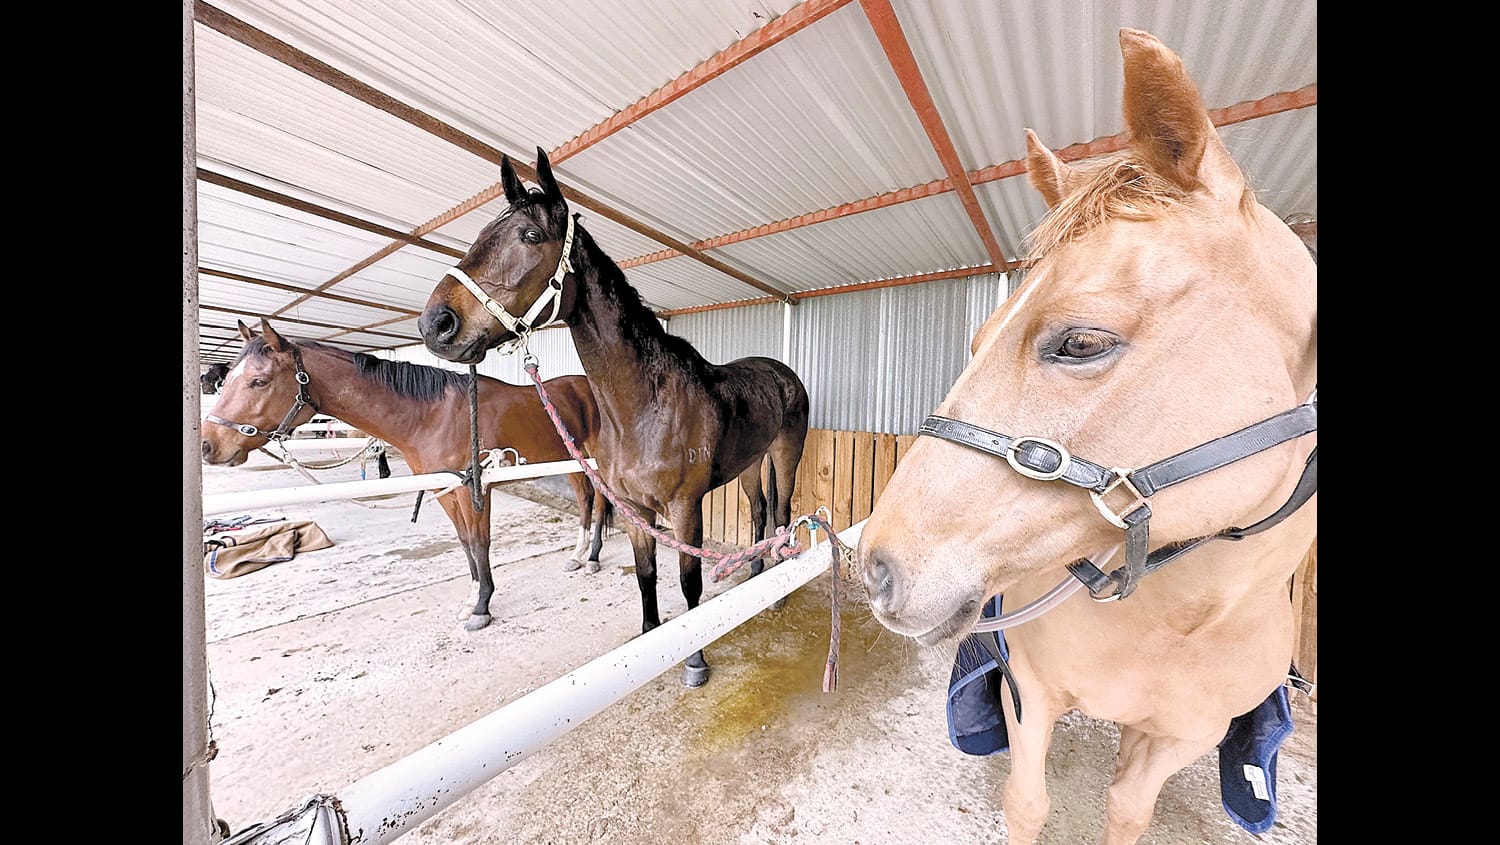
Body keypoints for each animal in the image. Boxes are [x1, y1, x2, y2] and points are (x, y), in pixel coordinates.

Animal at [201, 318, 614, 632]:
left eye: (259, 381)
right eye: (227, 379)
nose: (208, 445)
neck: (432, 415)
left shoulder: (474, 490)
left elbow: (480, 543)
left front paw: (481, 608)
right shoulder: (445, 491)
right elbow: (465, 543)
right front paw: (471, 599)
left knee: (599, 504)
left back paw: (593, 557)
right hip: (573, 462)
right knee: (585, 501)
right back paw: (578, 556)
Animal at [416, 151, 810, 687]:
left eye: (530, 236)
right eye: (481, 234)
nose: (436, 324)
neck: (643, 409)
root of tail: (781, 371)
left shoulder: (685, 507)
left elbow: (688, 583)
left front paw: (694, 661)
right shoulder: (634, 507)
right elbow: (647, 576)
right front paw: (650, 638)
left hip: (787, 453)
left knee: (784, 512)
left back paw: (778, 592)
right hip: (750, 463)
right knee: (759, 511)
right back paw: (753, 579)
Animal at [856, 29, 1316, 845]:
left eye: (1080, 342)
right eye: (978, 338)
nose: (876, 566)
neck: (1183, 623)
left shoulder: (1180, 737)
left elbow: (1129, 810)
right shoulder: (1031, 691)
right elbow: (1028, 801)